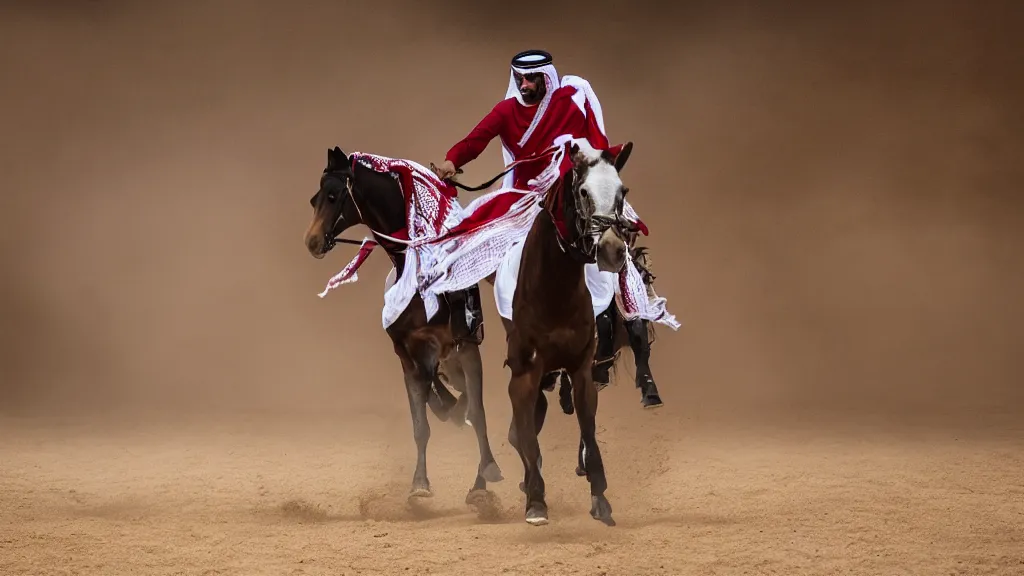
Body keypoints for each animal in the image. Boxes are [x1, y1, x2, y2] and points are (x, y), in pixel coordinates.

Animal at [303, 145, 503, 500]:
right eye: (315, 199)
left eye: (332, 195)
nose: (312, 241)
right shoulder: (407, 356)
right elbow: (421, 425)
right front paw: (419, 484)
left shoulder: (465, 347)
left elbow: (477, 413)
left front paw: (485, 477)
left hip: (458, 356)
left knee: (469, 401)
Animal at [501, 139, 634, 524]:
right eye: (583, 191)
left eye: (622, 191)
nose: (612, 250)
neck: (554, 290)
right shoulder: (524, 374)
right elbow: (526, 436)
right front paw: (535, 500)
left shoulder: (582, 369)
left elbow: (587, 427)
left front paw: (599, 495)